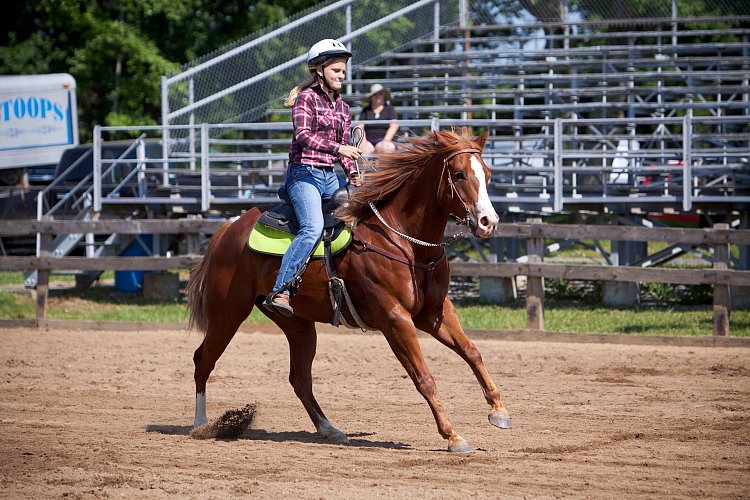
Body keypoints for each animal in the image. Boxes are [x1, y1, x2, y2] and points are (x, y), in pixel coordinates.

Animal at [189, 127, 516, 452]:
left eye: (487, 174)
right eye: (459, 174)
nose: (488, 222)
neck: (403, 241)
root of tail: (228, 229)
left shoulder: (434, 312)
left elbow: (472, 352)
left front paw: (499, 411)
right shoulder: (395, 319)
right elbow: (424, 378)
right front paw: (453, 436)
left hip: (297, 325)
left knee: (300, 379)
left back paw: (329, 428)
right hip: (227, 314)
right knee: (203, 359)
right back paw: (201, 424)